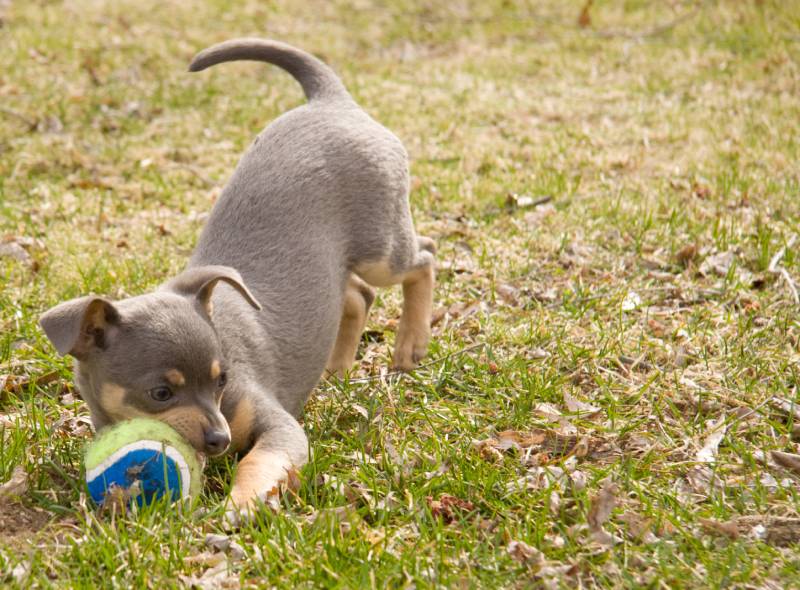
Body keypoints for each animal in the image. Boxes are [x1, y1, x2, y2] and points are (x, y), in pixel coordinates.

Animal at [38, 38, 438, 520]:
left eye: (222, 380)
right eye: (160, 393)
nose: (220, 440)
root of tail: (331, 98)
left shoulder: (281, 428)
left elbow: (261, 460)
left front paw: (242, 503)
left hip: (380, 246)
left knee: (424, 256)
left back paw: (411, 343)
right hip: (338, 266)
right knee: (359, 296)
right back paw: (337, 367)